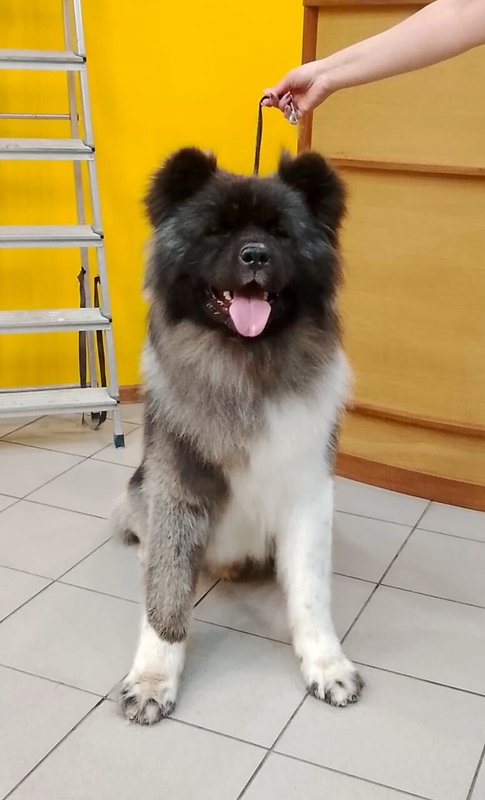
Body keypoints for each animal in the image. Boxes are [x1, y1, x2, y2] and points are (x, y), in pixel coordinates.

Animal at [113, 147, 364, 724]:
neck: (245, 368)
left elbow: (312, 595)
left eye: (281, 233)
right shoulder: (176, 490)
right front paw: (153, 678)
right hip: (142, 487)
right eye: (219, 231)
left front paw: (326, 665)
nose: (254, 255)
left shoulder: (308, 495)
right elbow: (166, 596)